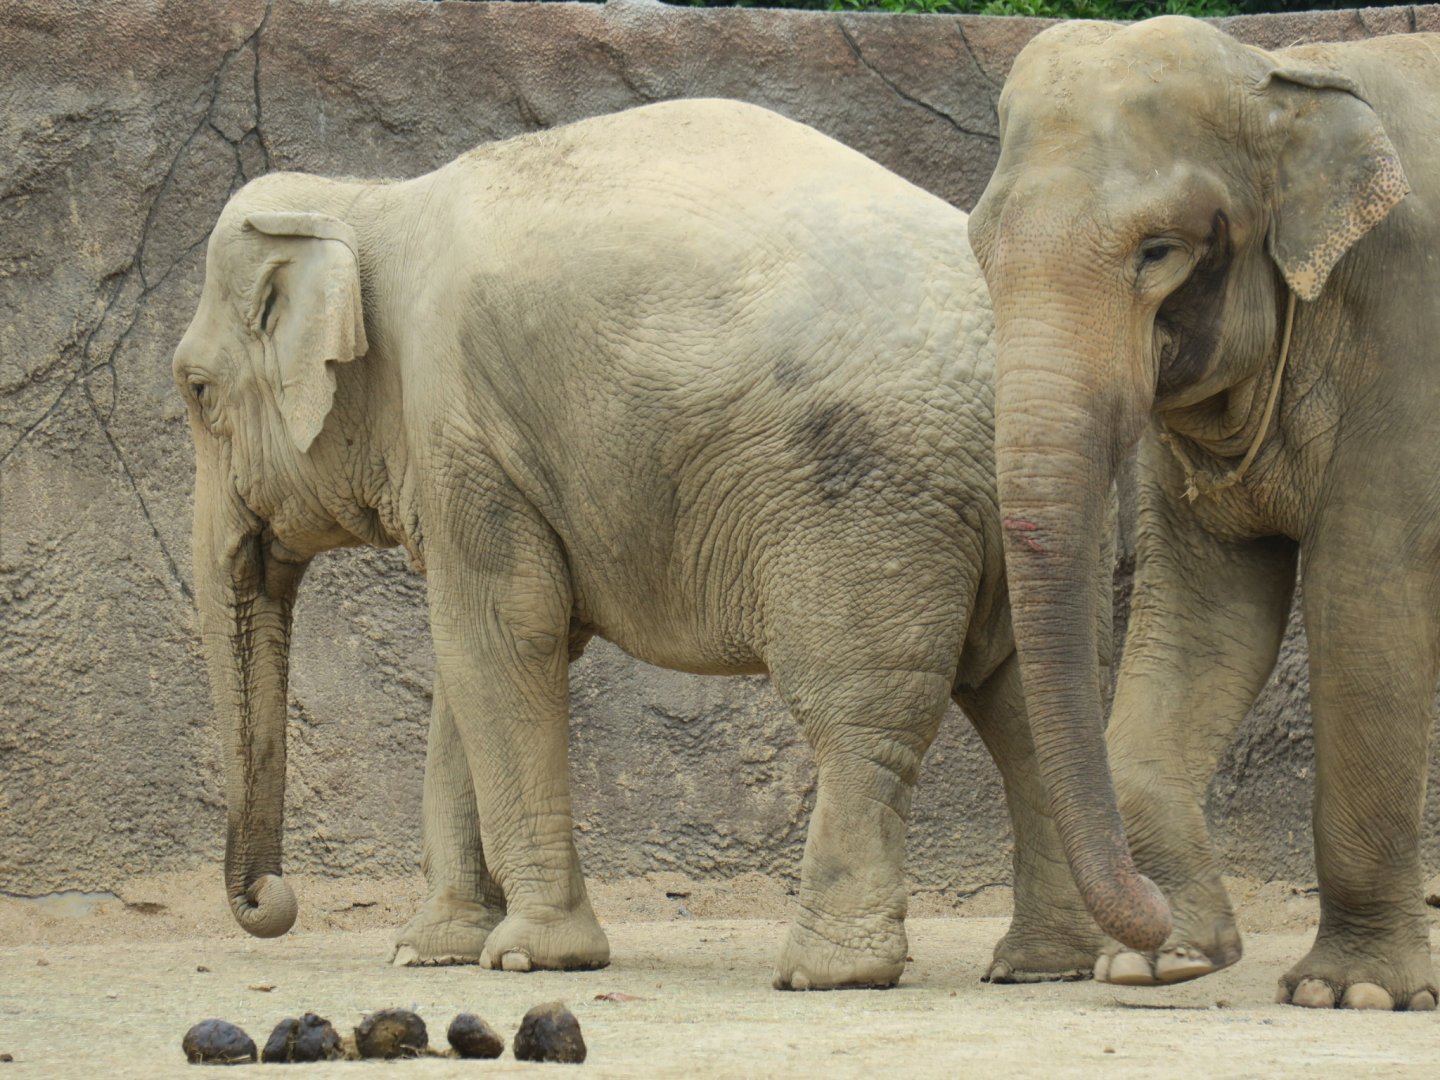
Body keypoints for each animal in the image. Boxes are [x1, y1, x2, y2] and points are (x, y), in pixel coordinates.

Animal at [172, 98, 1128, 990]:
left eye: (196, 391)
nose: (271, 900)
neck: (370, 201)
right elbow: (479, 659)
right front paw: (432, 952)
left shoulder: (464, 432)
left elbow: (497, 638)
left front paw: (528, 958)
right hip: (1023, 509)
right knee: (1026, 700)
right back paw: (1038, 966)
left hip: (869, 499)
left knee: (864, 718)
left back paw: (827, 971)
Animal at [968, 16, 1440, 1010]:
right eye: (982, 250)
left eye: (1158, 251)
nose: (1142, 913)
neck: (1284, 77)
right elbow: (1207, 609)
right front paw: (1167, 961)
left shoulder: (1412, 333)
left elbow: (1366, 603)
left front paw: (1353, 994)